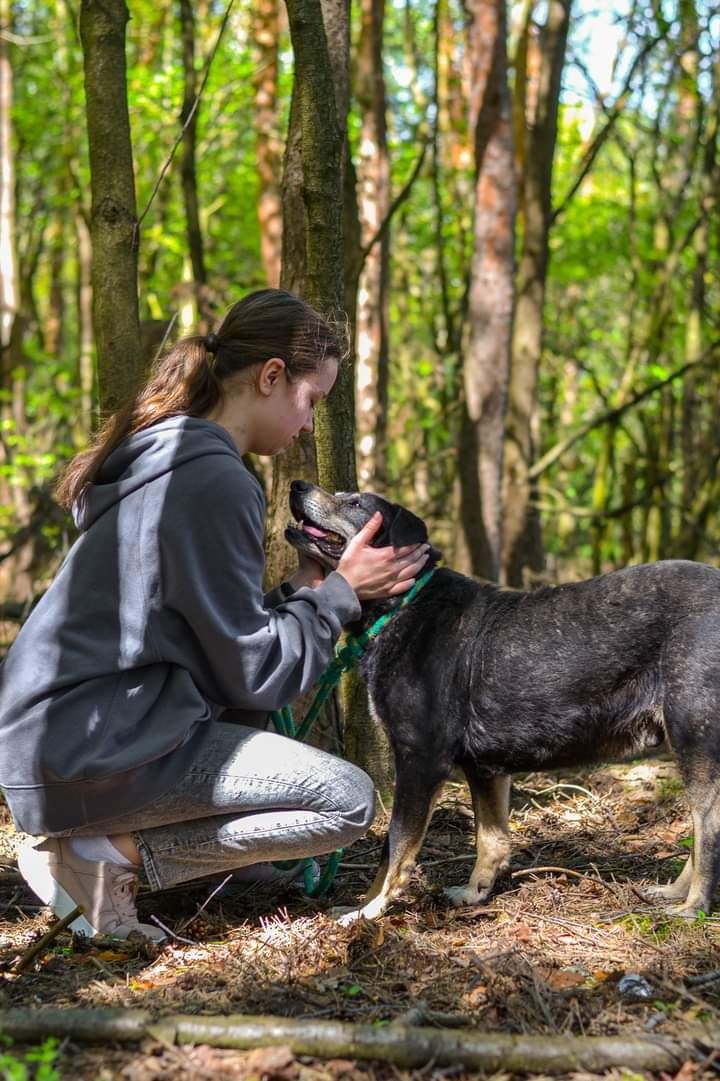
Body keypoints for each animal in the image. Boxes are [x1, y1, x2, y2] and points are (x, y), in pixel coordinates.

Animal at [285, 479, 717, 921]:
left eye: (355, 503)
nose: (297, 485)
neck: (402, 604)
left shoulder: (420, 759)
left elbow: (396, 847)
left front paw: (369, 911)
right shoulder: (485, 768)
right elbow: (491, 840)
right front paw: (475, 893)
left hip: (692, 730)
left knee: (709, 823)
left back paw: (693, 906)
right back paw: (672, 892)